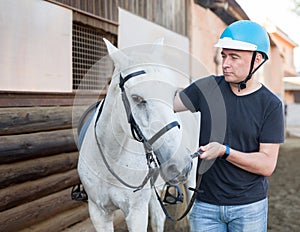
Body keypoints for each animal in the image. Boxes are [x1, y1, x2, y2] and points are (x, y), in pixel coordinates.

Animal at [78, 39, 197, 231]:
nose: (180, 163)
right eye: (137, 98)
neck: (112, 157)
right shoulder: (98, 212)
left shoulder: (136, 213)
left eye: (172, 95)